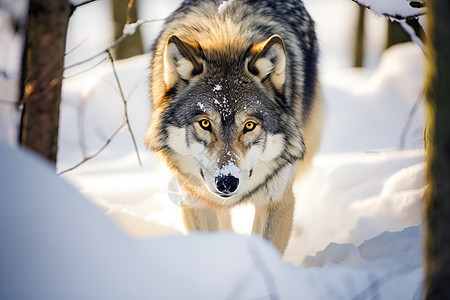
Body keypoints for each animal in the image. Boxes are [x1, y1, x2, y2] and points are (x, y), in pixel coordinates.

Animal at [145, 0, 324, 255]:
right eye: (205, 123)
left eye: (249, 125)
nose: (227, 182)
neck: (226, 35)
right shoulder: (195, 202)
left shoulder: (277, 200)